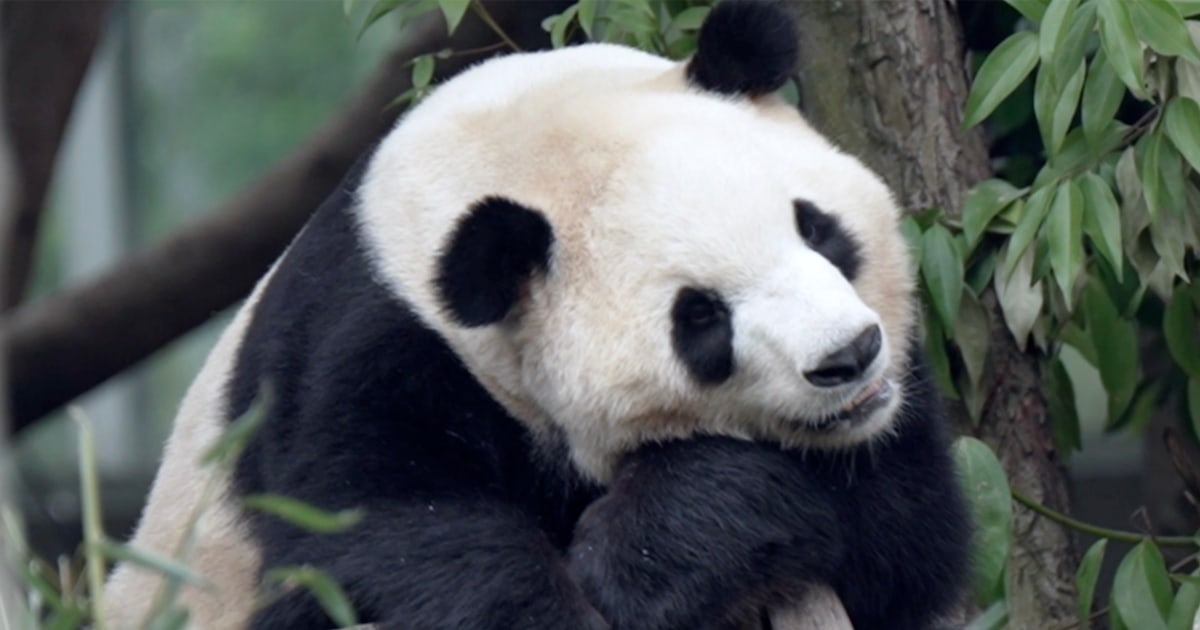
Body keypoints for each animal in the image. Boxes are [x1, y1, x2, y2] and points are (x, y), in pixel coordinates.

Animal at [104, 1, 971, 628]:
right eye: (701, 319)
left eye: (816, 228)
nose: (849, 355)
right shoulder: (364, 351)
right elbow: (380, 535)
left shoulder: (887, 423)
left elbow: (900, 529)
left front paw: (643, 557)